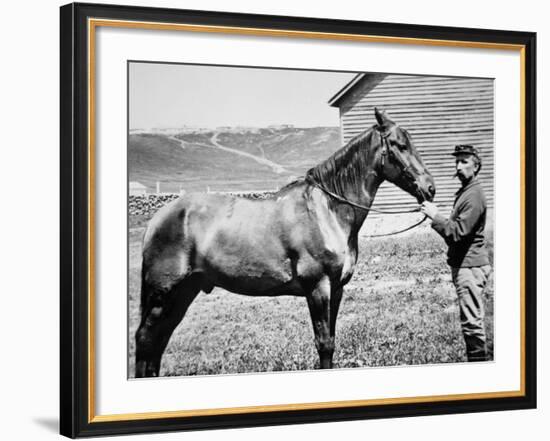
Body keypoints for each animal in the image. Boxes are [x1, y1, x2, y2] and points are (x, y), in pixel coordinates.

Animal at [134, 106, 436, 374]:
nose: (430, 188)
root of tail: (158, 217)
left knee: (158, 342)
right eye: (400, 145)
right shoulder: (318, 288)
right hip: (164, 294)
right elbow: (324, 344)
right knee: (145, 340)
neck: (326, 210)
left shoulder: (336, 289)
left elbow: (331, 340)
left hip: (184, 292)